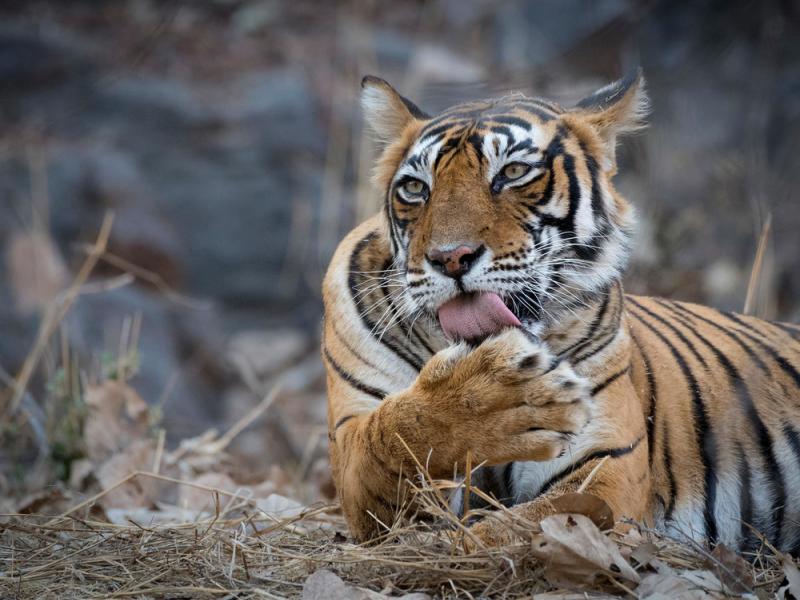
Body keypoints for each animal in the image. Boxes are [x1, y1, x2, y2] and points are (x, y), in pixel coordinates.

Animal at [321, 70, 800, 553]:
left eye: (513, 172)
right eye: (416, 188)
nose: (450, 258)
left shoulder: (604, 467)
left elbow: (514, 527)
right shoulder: (352, 443)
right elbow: (397, 434)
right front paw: (493, 400)